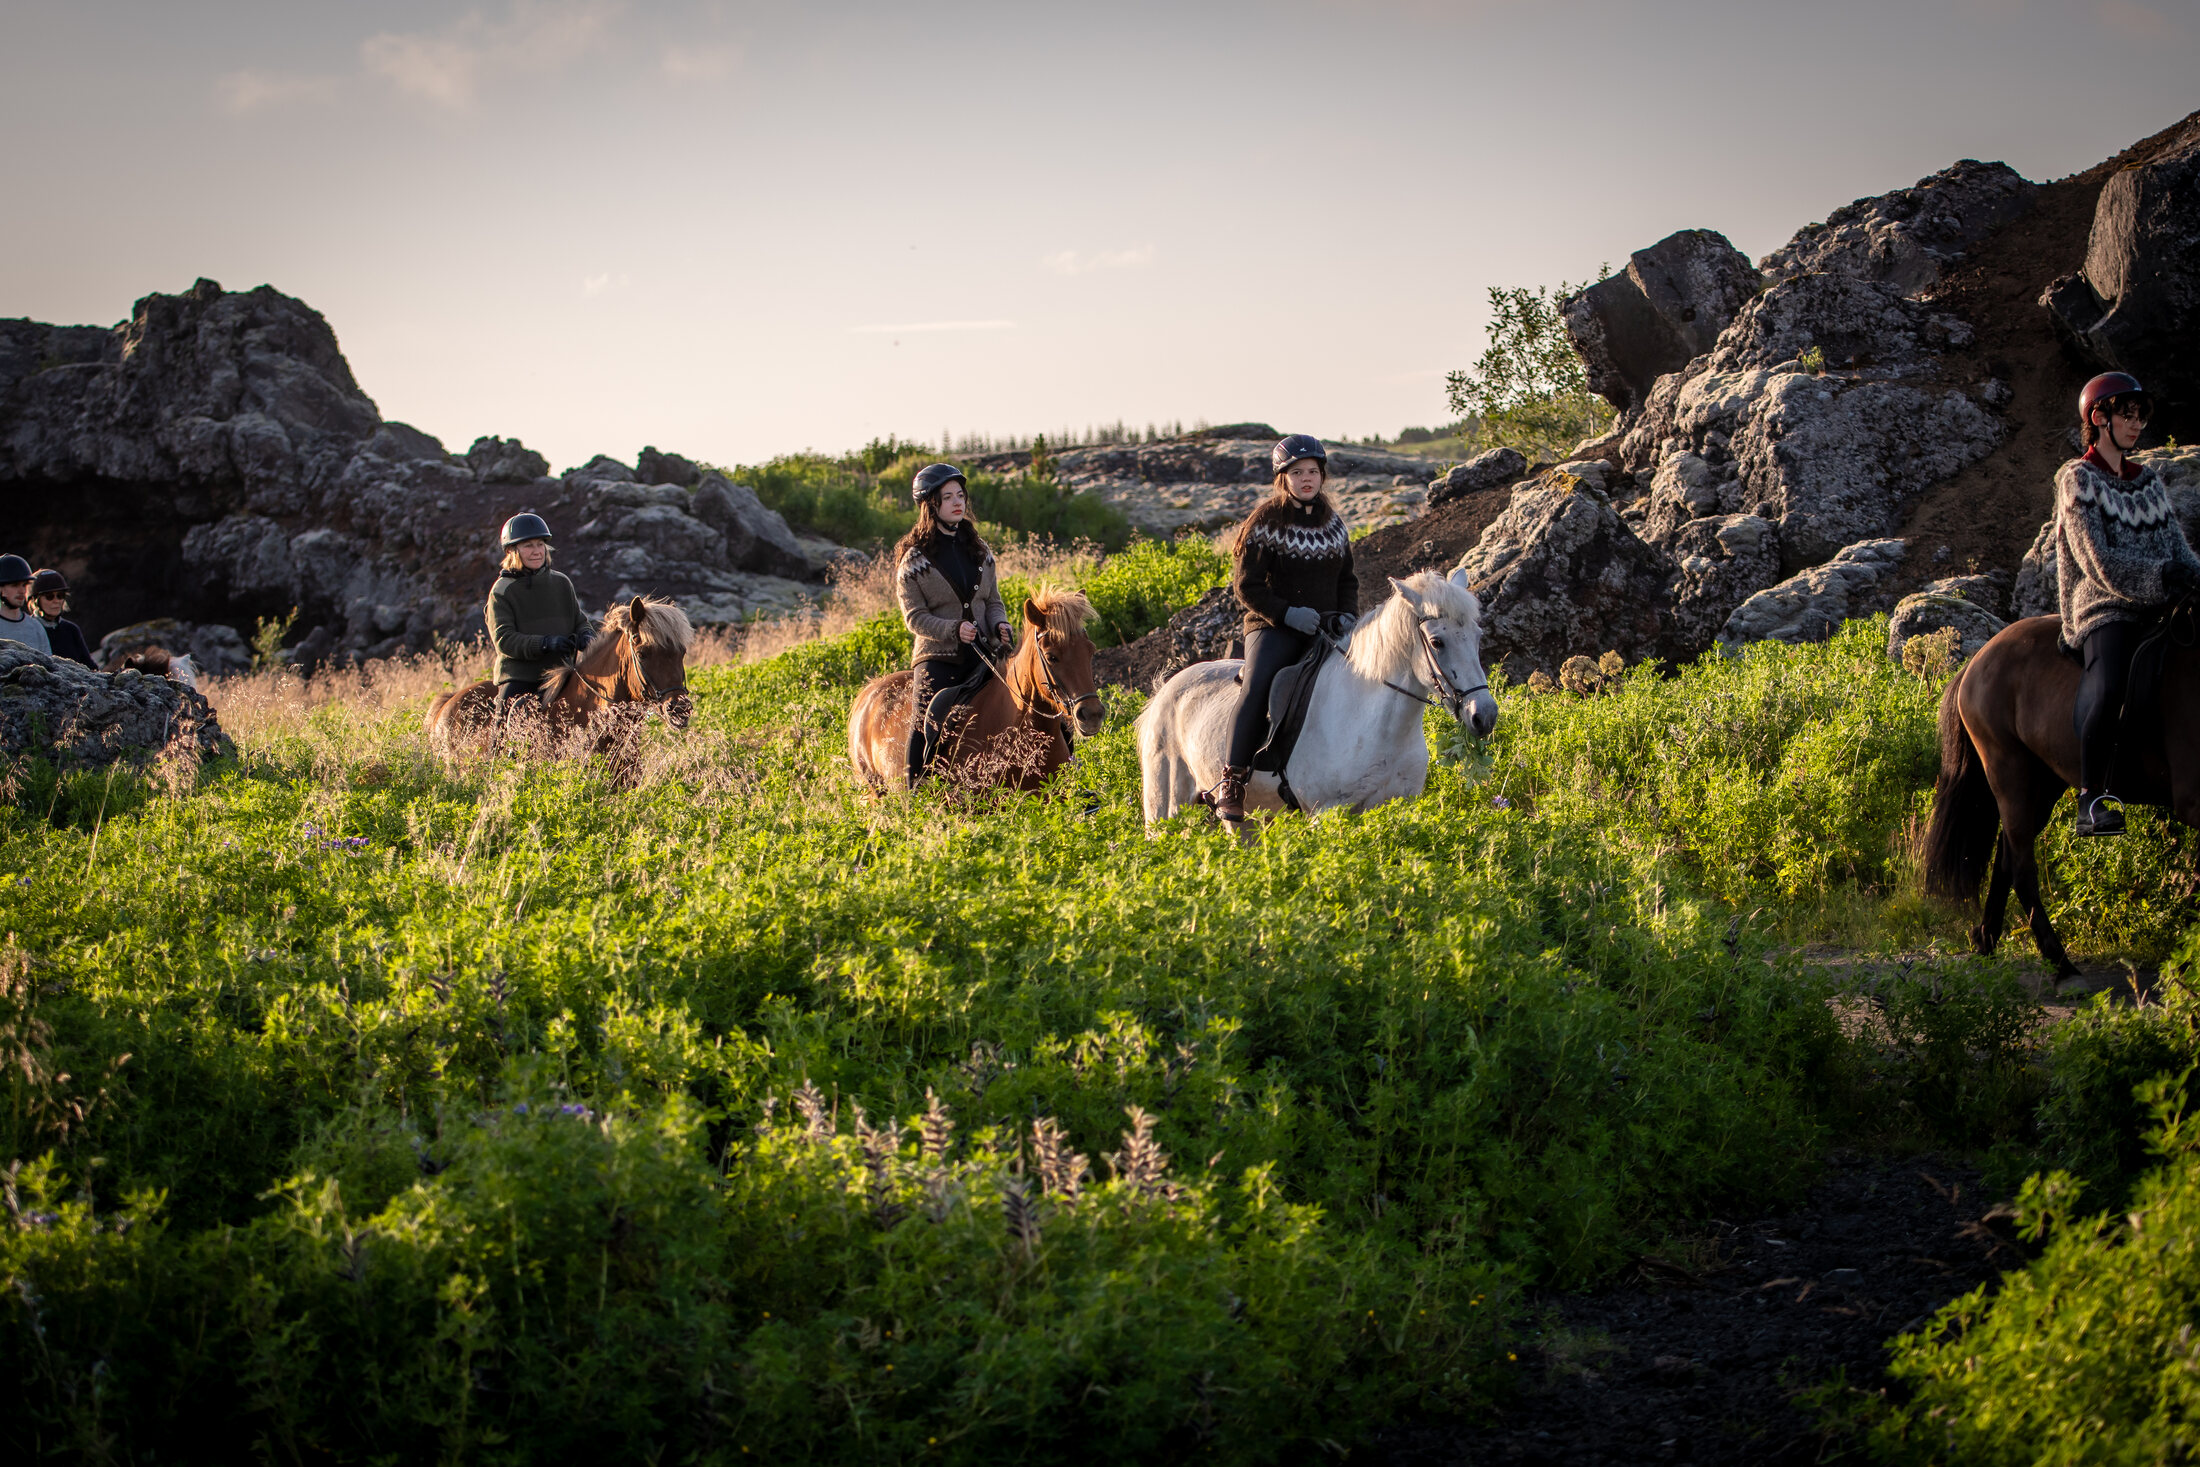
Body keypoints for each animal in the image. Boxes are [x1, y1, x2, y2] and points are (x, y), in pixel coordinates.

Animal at [1136, 568, 1500, 826]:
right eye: (1437, 642)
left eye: (1478, 635)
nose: (1484, 715)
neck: (1377, 725)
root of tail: (1164, 692)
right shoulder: (1325, 813)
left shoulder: (1397, 805)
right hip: (1164, 812)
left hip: (1244, 818)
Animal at [1922, 606, 2200, 977]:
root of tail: (1977, 659)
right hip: (2010, 772)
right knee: (2021, 868)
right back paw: (2061, 964)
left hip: (2042, 785)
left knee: (2006, 856)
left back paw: (1986, 939)